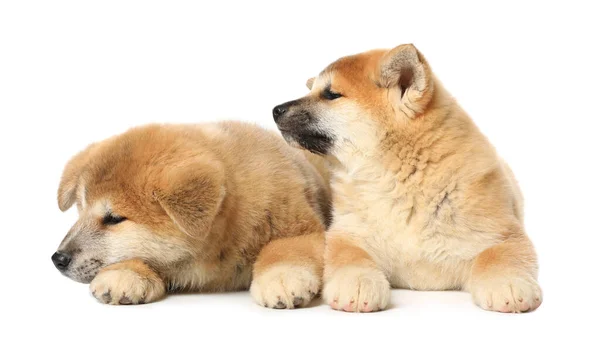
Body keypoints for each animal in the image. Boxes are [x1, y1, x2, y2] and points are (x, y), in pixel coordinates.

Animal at [51, 121, 330, 308]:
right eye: (81, 211)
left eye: (114, 219)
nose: (58, 259)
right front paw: (124, 273)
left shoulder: (300, 225)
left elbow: (285, 248)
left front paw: (282, 276)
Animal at [276, 43, 544, 314]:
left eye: (331, 95)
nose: (276, 109)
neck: (398, 184)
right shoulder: (346, 234)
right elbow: (350, 257)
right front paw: (358, 282)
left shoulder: (502, 233)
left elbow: (498, 257)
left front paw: (508, 283)